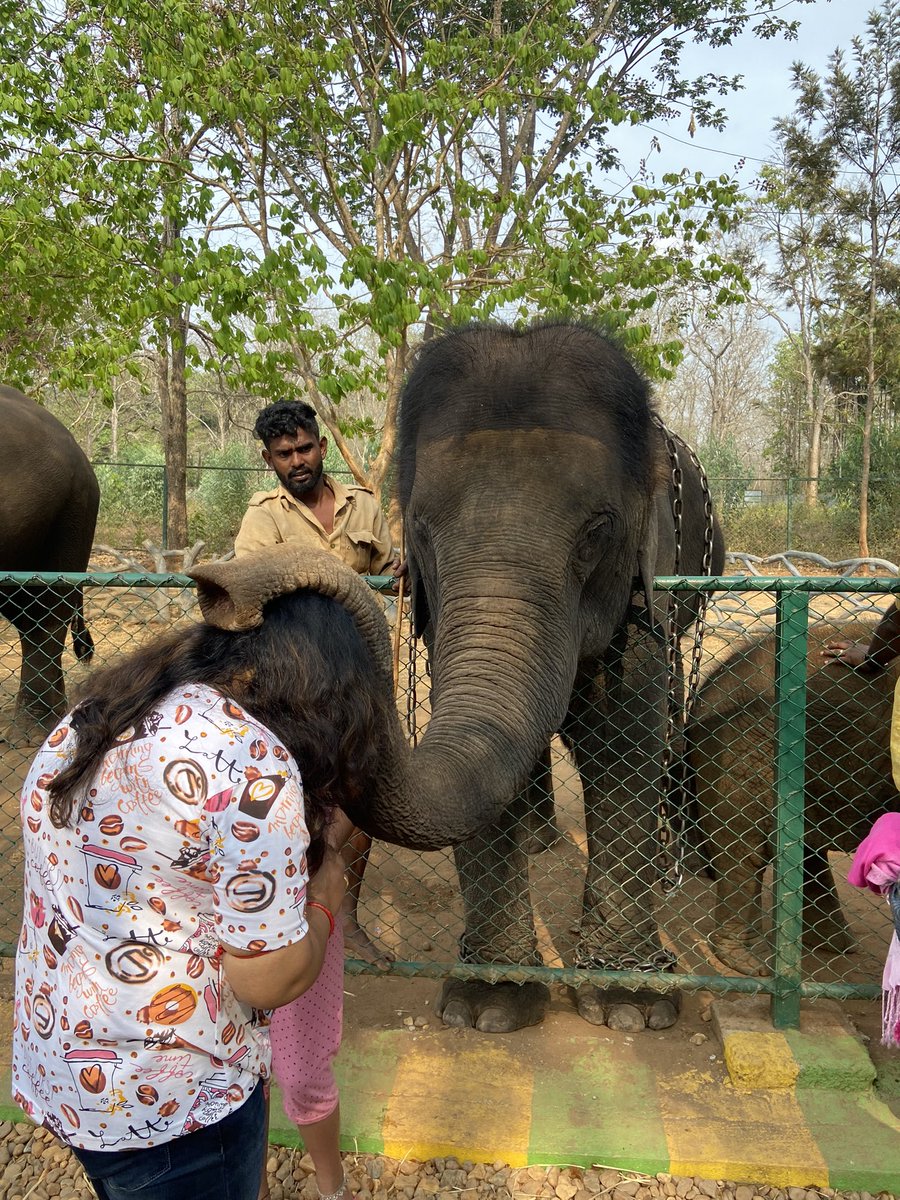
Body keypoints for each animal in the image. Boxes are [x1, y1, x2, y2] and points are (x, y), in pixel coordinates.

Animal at [192, 319, 724, 1032]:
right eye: (419, 527)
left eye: (597, 532)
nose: (218, 588)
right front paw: (489, 1005)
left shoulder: (648, 588)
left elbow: (623, 739)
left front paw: (632, 1007)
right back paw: (540, 843)